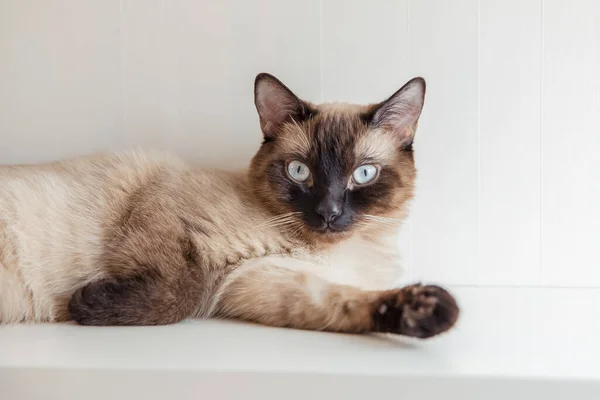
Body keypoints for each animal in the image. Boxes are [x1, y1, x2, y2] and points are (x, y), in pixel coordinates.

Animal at [0, 72, 460, 338]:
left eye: (362, 174)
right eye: (299, 171)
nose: (328, 213)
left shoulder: (262, 284)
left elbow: (342, 304)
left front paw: (432, 312)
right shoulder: (164, 208)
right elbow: (183, 292)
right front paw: (85, 306)